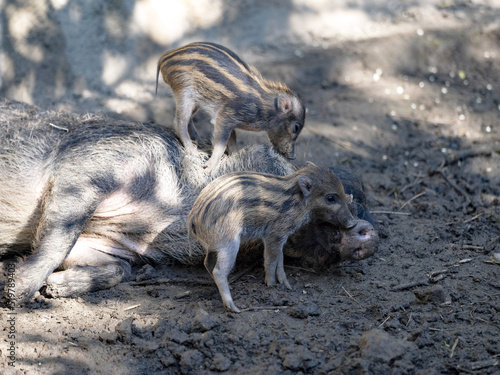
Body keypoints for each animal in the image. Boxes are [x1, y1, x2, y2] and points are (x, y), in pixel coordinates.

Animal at [0, 98, 376, 306]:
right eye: (332, 197)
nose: (370, 232)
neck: (172, 212)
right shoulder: (92, 162)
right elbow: (57, 239)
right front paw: (14, 293)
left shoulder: (112, 243)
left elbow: (117, 267)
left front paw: (52, 289)